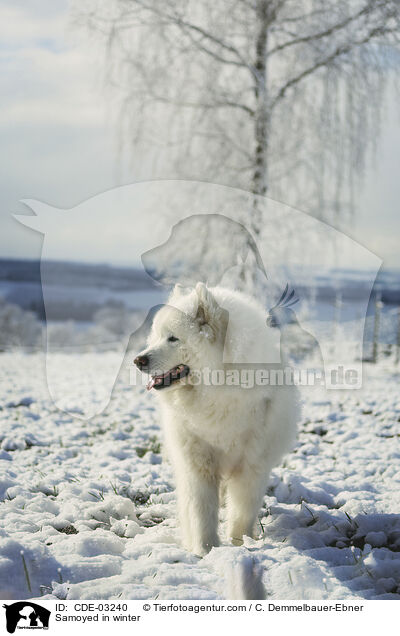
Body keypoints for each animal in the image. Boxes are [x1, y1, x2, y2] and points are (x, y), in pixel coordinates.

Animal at [135, 284, 300, 556]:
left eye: (173, 338)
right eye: (156, 337)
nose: (138, 360)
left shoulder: (251, 465)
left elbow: (242, 511)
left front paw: (240, 543)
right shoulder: (198, 463)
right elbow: (201, 511)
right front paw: (206, 549)